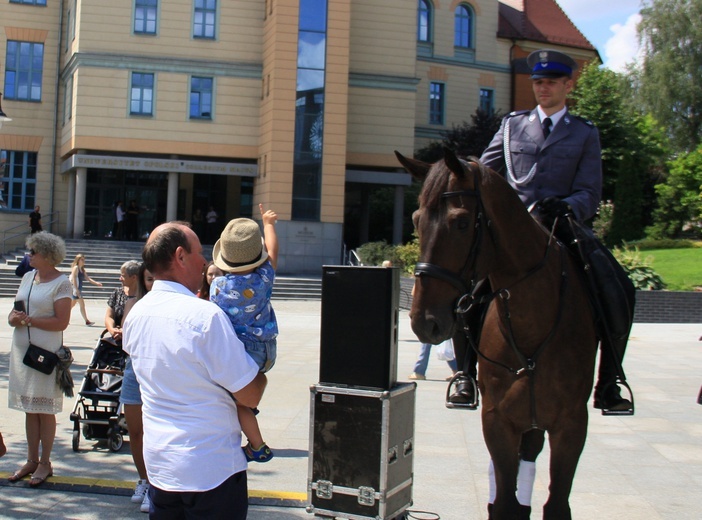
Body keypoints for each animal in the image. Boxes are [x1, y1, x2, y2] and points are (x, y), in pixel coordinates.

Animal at [396, 148, 600, 516]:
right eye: (417, 220)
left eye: (462, 222)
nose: (424, 321)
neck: (531, 321)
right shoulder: (498, 420)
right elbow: (504, 499)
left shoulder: (572, 424)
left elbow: (557, 502)